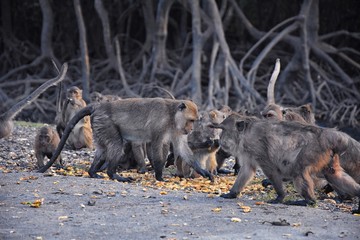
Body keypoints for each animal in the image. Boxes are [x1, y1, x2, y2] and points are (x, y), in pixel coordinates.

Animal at [38, 97, 214, 182]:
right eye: (191, 120)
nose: (190, 129)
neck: (172, 115)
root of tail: (99, 106)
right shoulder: (161, 124)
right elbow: (157, 146)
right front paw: (159, 175)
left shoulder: (177, 129)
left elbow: (182, 149)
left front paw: (204, 172)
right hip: (105, 122)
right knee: (116, 144)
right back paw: (113, 174)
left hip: (99, 125)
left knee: (103, 149)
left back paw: (93, 172)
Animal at [211, 112, 360, 212]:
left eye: (223, 130)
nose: (219, 139)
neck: (245, 132)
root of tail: (326, 134)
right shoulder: (248, 152)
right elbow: (247, 170)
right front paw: (232, 193)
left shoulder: (256, 146)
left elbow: (270, 169)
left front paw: (280, 196)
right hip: (327, 155)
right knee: (333, 174)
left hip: (313, 150)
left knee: (299, 171)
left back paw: (308, 201)